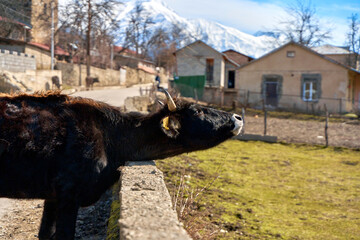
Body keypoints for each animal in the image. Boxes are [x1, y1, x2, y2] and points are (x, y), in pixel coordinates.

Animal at [0, 89, 243, 238]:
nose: (238, 117)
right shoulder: (69, 193)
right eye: (197, 110)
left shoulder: (52, 196)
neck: (112, 137)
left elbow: (44, 233)